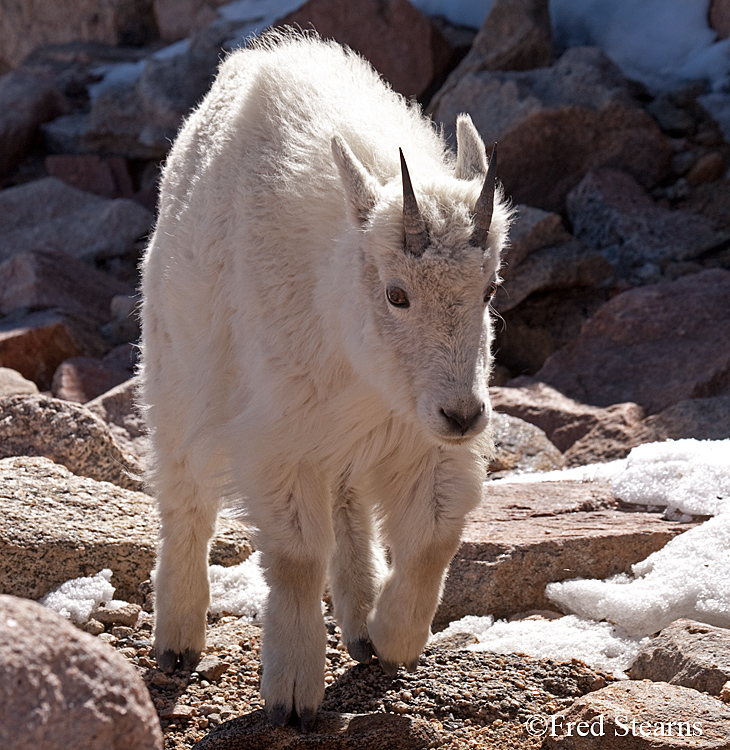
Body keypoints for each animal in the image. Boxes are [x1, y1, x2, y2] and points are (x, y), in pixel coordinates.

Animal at [139, 31, 510, 730]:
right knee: (185, 499)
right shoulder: (279, 439)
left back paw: (361, 627)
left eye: (490, 288)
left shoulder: (420, 438)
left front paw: (393, 640)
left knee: (348, 507)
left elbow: (432, 539)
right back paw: (177, 638)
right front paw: (291, 694)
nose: (464, 415)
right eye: (396, 294)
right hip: (175, 374)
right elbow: (296, 558)